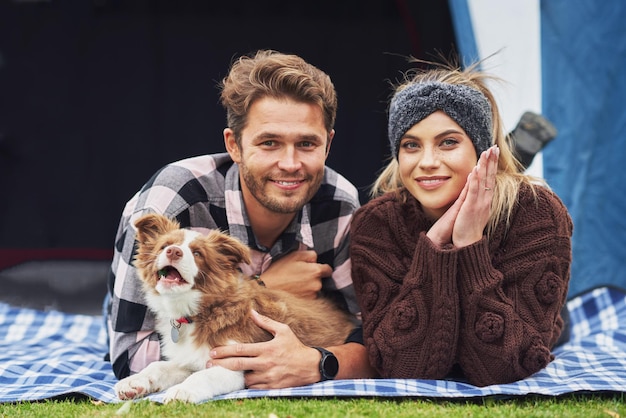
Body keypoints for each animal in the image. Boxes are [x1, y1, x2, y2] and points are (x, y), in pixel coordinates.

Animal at [114, 214, 354, 404]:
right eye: (164, 246)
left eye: (198, 253)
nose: (173, 252)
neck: (199, 312)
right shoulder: (191, 359)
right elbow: (159, 366)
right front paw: (133, 382)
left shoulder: (235, 362)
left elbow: (202, 376)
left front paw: (182, 390)